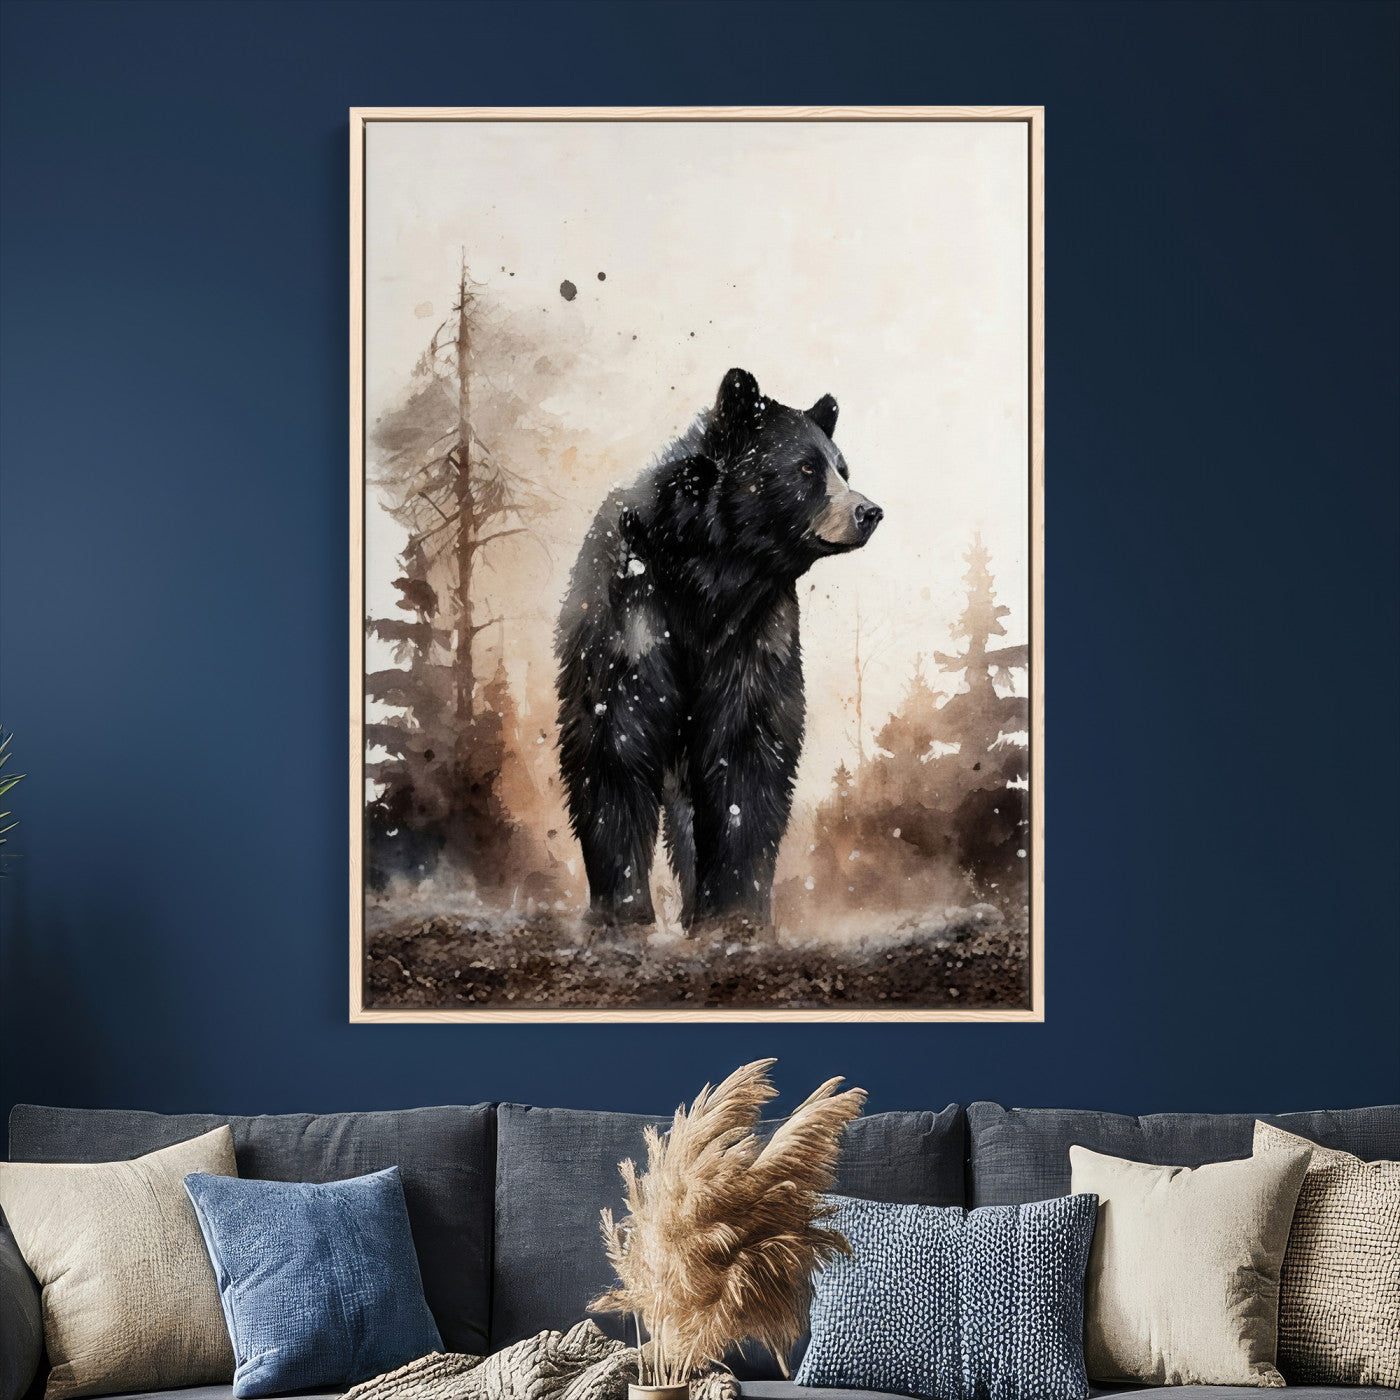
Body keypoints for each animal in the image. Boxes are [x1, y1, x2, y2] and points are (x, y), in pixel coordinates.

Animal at [555, 368, 882, 929]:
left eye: (842, 468)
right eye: (806, 468)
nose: (870, 511)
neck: (712, 579)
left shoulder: (755, 632)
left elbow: (746, 752)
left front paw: (735, 909)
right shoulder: (635, 614)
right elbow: (615, 741)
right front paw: (623, 908)